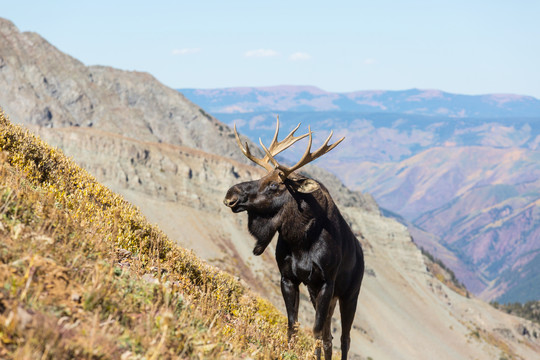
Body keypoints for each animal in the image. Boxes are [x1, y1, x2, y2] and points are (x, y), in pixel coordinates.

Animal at [221, 116, 364, 358]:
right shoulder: (289, 278)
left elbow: (315, 331)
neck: (301, 240)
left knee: (345, 339)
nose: (231, 194)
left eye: (273, 185)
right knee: (330, 337)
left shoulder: (326, 282)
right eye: (262, 176)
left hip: (349, 294)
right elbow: (293, 325)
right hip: (321, 294)